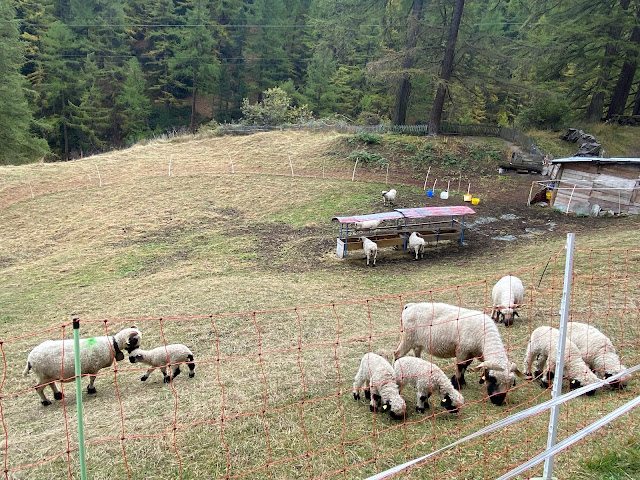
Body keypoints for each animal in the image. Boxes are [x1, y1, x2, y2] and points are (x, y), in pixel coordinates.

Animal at [392, 304, 524, 404]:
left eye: (511, 384)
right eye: (492, 379)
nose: (498, 401)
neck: (484, 336)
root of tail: (409, 306)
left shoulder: (470, 353)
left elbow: (465, 367)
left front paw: (463, 382)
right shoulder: (462, 351)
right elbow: (460, 367)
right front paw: (458, 383)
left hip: (416, 342)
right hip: (408, 337)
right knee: (397, 354)